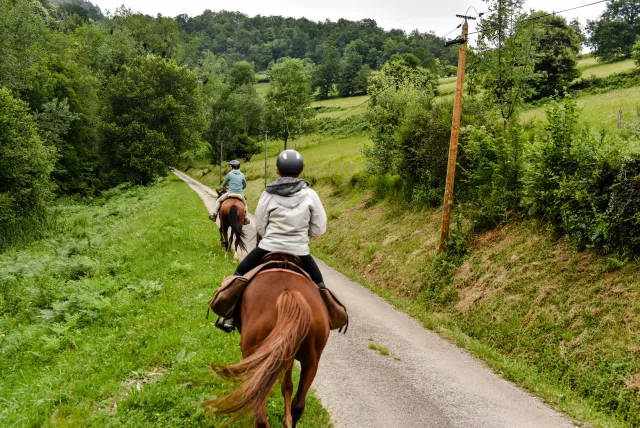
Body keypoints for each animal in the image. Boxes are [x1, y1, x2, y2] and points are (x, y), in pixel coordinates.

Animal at [209, 270, 332, 428]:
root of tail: (288, 294)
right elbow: (287, 386)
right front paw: (286, 420)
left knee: (260, 411)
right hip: (311, 361)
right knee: (298, 405)